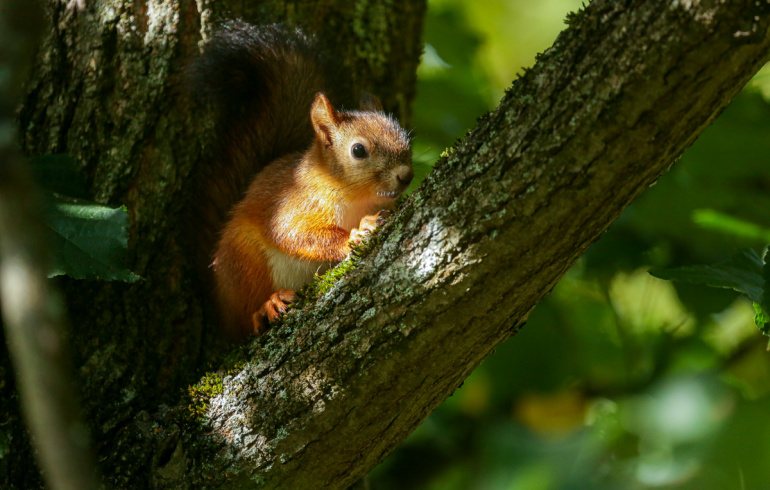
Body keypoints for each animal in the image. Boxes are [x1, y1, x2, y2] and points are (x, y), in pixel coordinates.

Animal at [185, 21, 412, 338]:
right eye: (358, 150)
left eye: (405, 138)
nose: (406, 175)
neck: (358, 197)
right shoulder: (294, 203)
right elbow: (295, 233)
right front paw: (355, 234)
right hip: (244, 262)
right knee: (244, 318)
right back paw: (266, 306)